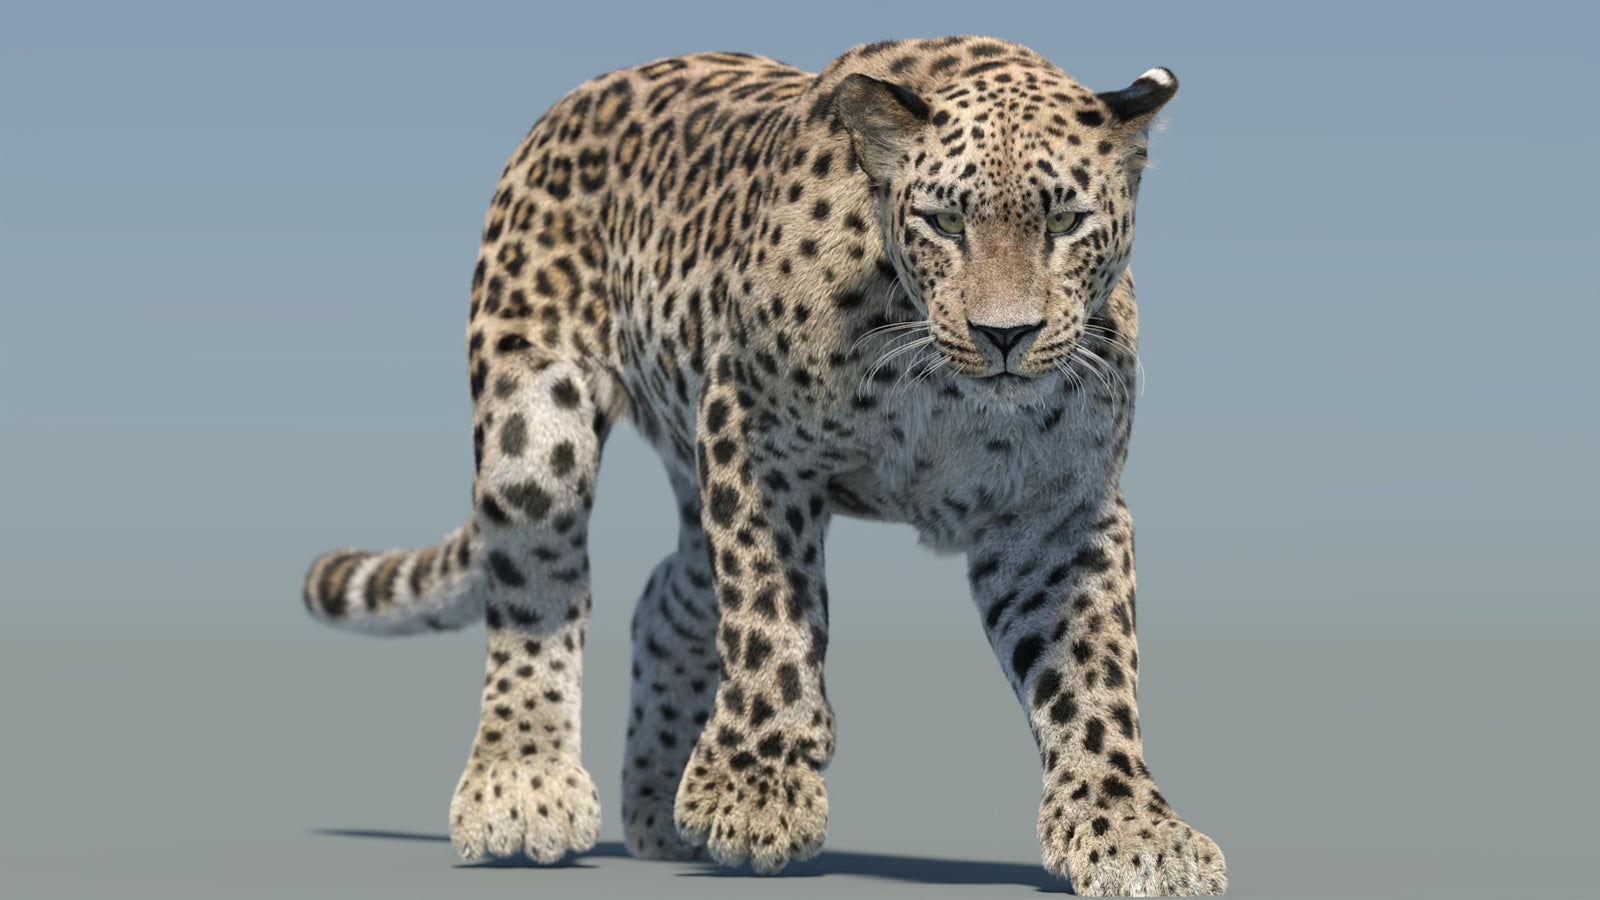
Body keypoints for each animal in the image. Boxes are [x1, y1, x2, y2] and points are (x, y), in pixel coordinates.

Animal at [301, 36, 1225, 896]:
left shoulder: (1056, 509)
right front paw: (751, 793)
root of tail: (577, 98)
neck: (937, 383)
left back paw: (655, 810)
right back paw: (521, 785)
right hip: (536, 421)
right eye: (944, 222)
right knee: (538, 586)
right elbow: (770, 617)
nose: (1006, 335)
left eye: (1065, 224)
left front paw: (1130, 829)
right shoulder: (753, 436)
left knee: (665, 597)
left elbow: (1091, 672)